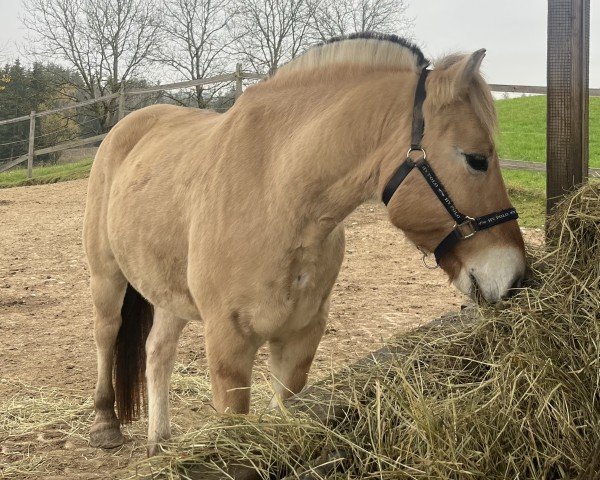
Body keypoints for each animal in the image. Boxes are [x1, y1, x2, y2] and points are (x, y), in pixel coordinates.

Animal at [83, 32, 524, 454]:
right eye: (477, 159)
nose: (516, 278)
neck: (275, 193)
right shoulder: (227, 344)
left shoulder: (300, 338)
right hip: (106, 276)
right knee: (107, 333)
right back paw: (105, 425)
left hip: (168, 289)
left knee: (157, 351)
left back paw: (159, 442)